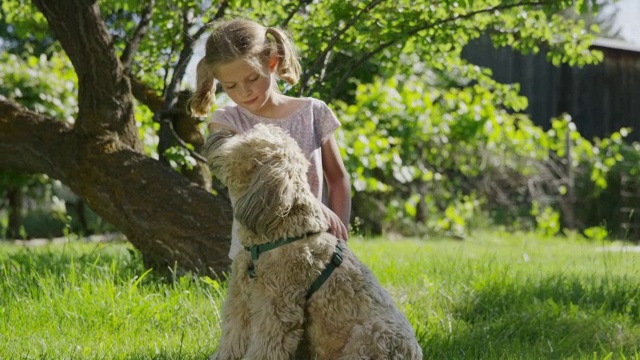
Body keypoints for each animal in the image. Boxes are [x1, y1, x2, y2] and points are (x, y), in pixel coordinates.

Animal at [205, 124, 422, 360]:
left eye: (244, 137)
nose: (219, 130)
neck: (281, 227)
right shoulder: (241, 300)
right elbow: (231, 338)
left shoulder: (276, 309)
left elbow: (263, 348)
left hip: (371, 335)